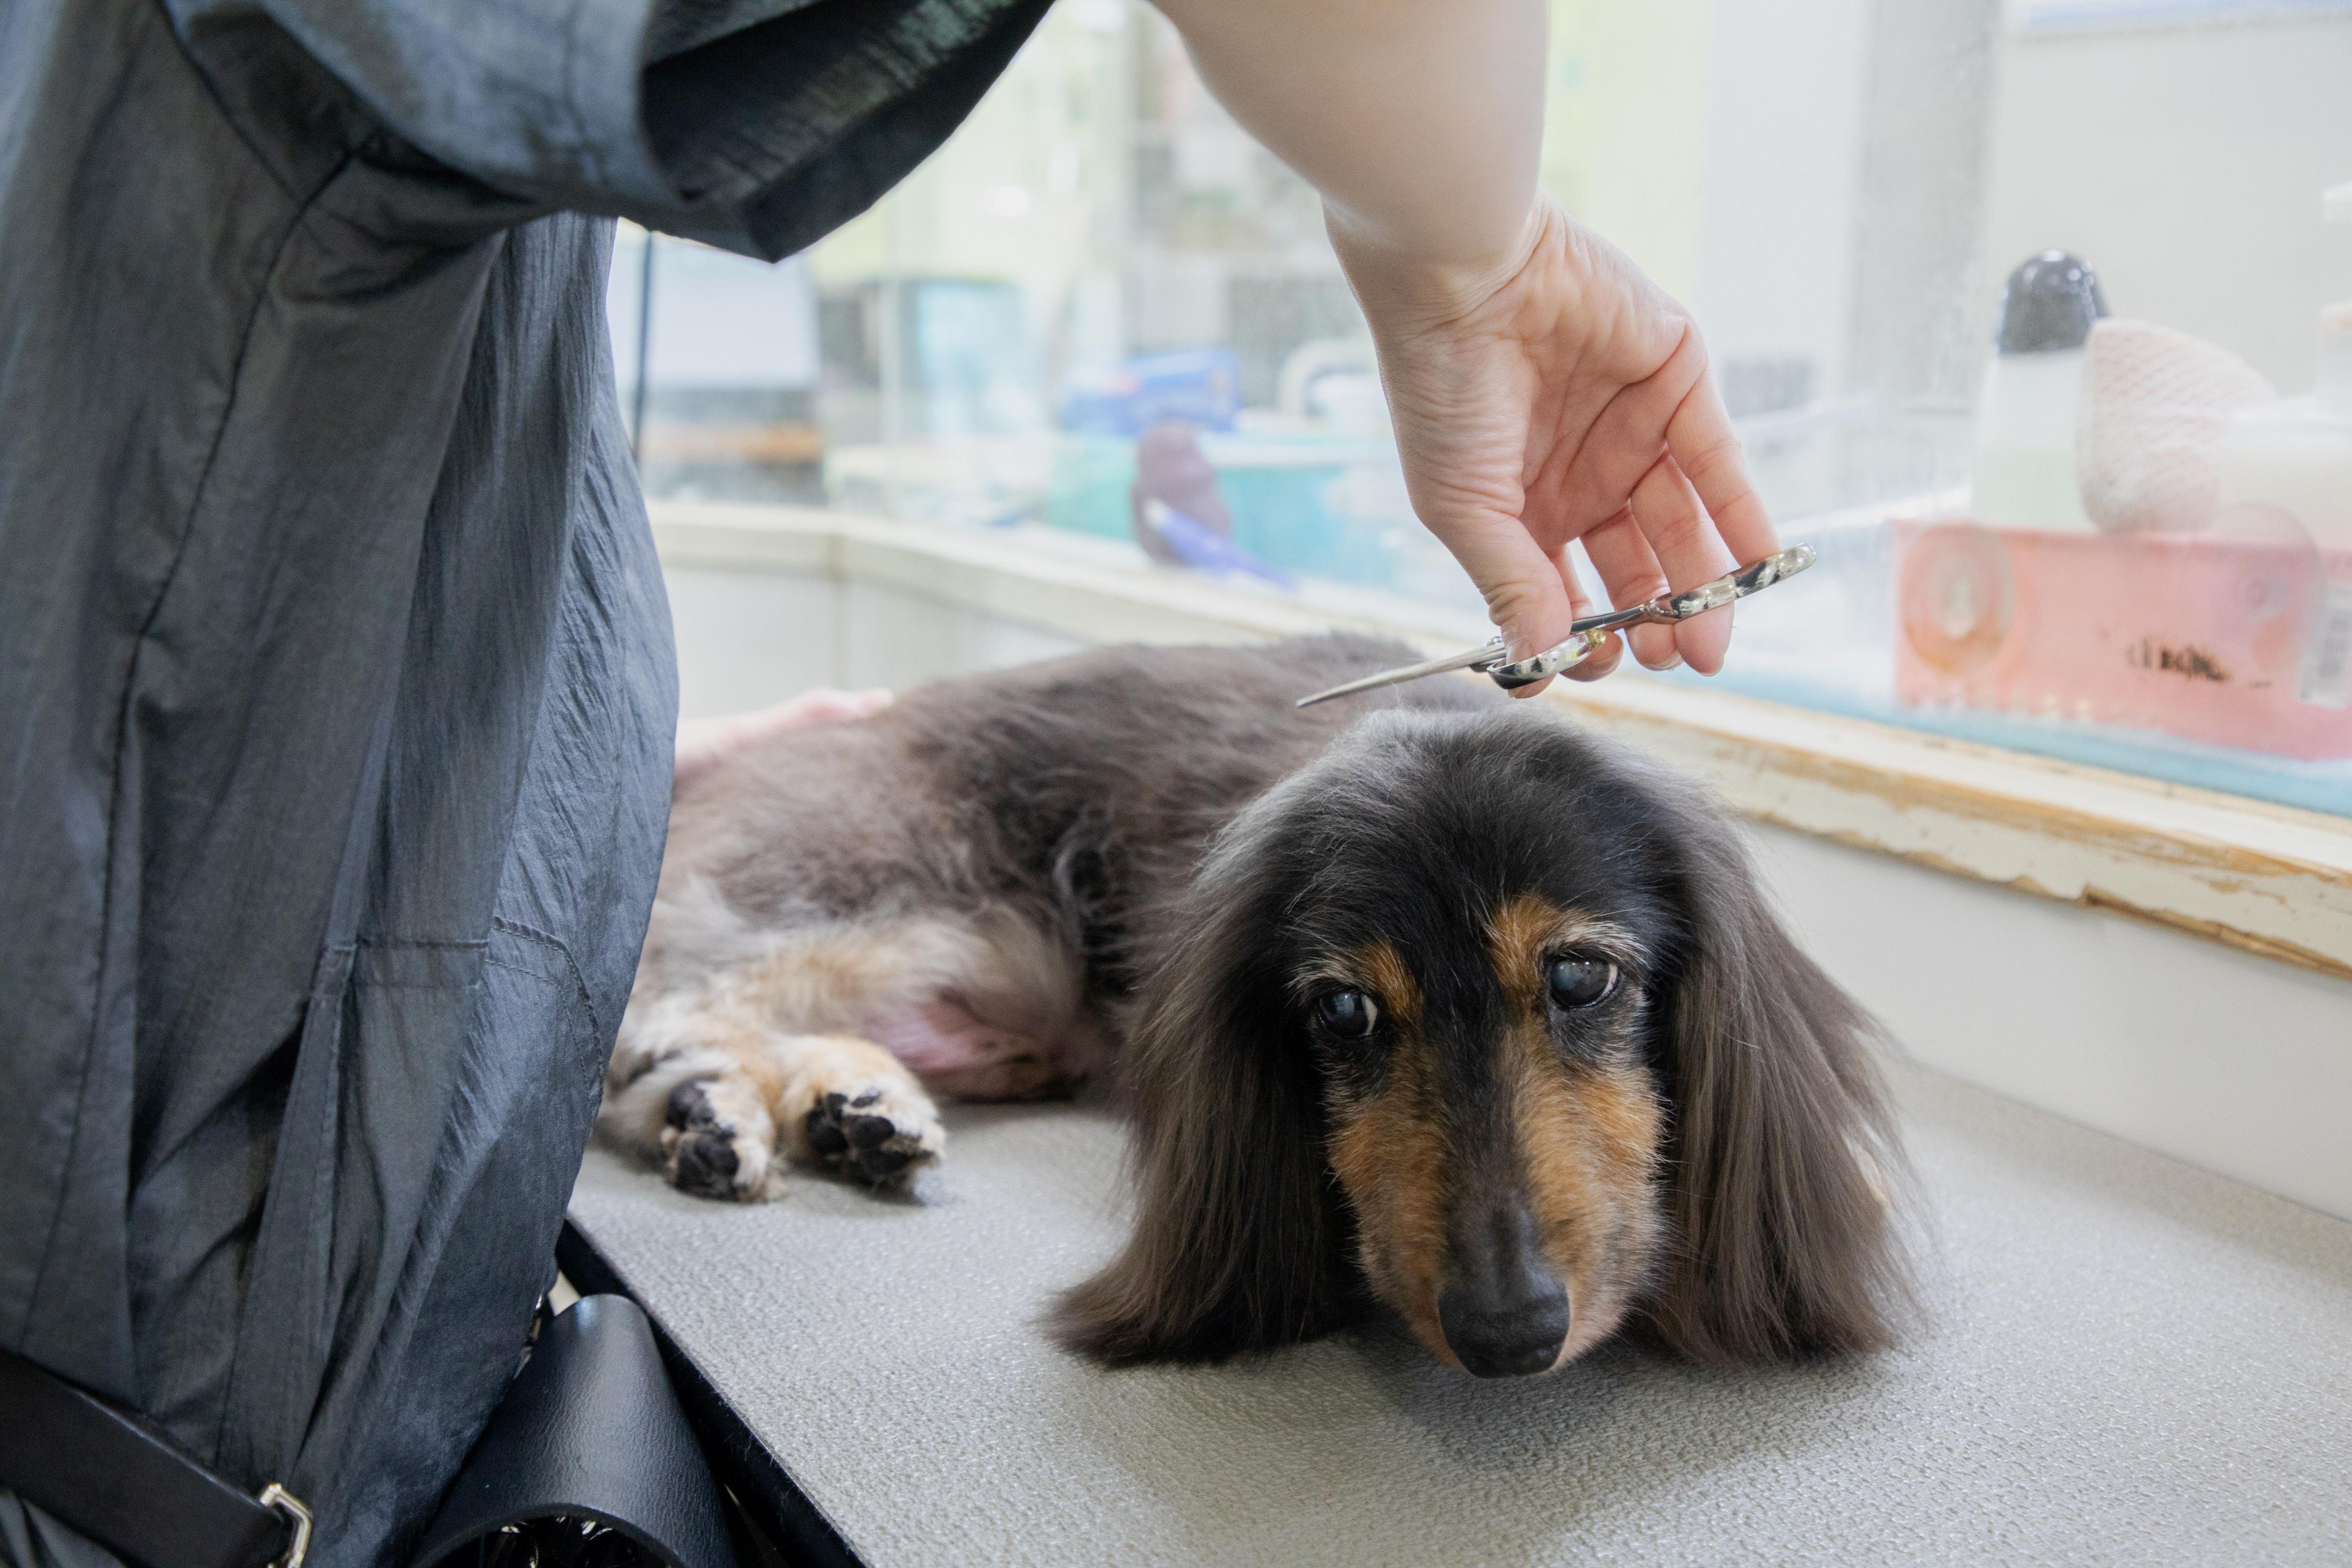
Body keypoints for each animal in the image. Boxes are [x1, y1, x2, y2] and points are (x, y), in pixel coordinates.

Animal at [602, 635, 1910, 1373]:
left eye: (1582, 976)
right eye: (1341, 1012)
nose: (1508, 1333)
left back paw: (842, 1110)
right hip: (889, 901)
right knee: (653, 1019)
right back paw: (720, 1113)